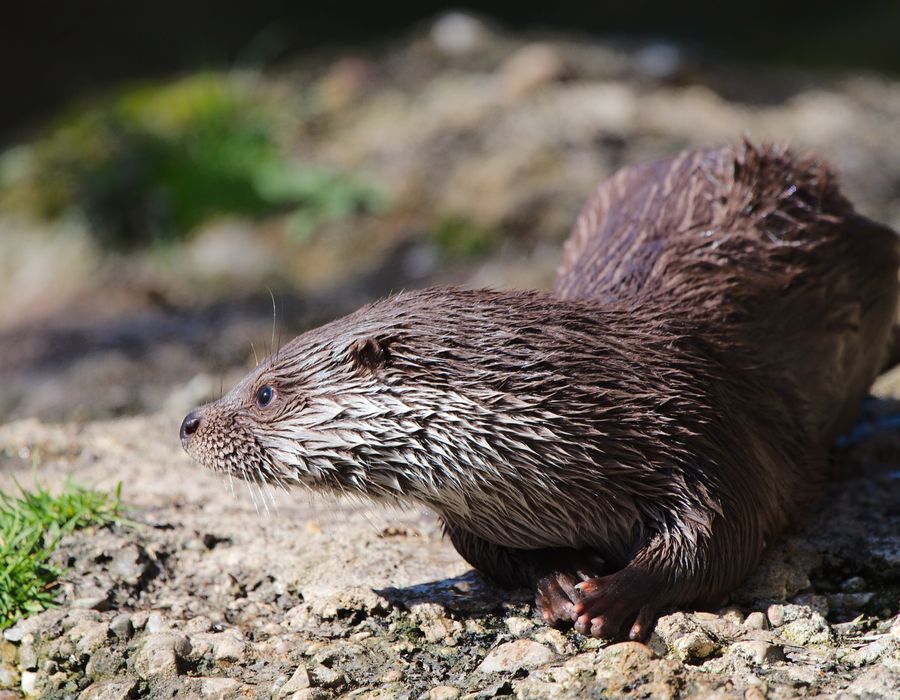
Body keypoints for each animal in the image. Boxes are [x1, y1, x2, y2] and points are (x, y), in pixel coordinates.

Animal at [180, 142, 899, 640]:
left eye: (264, 392)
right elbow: (487, 554)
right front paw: (557, 580)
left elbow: (724, 535)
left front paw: (616, 596)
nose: (189, 422)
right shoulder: (475, 513)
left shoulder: (706, 425)